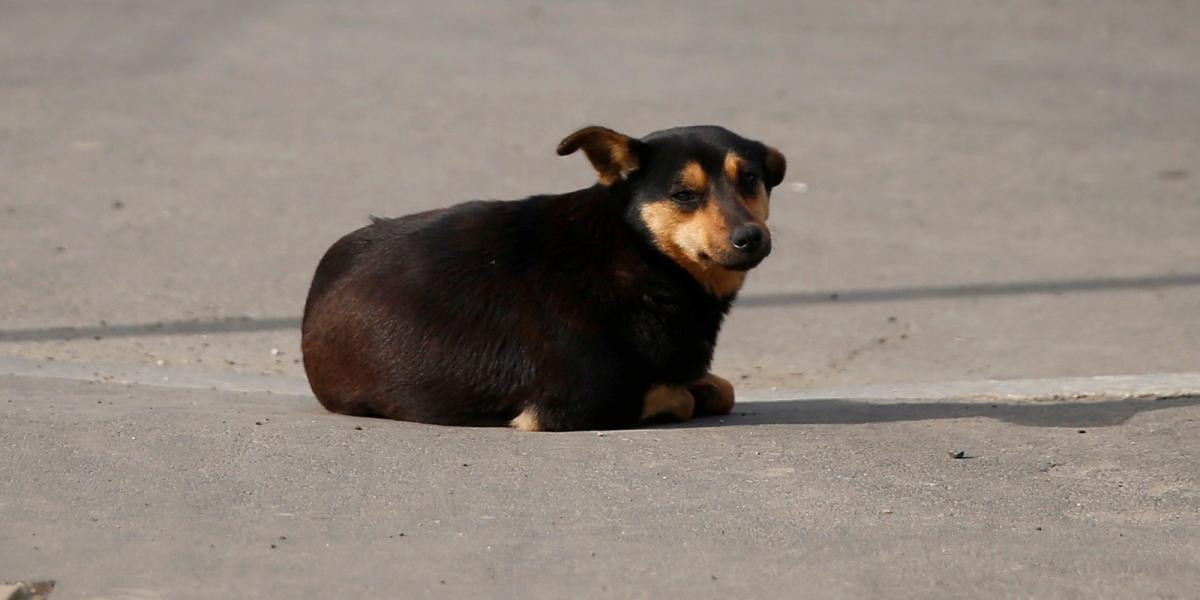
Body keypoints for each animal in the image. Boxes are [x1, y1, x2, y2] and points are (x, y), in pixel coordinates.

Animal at [304, 124, 782, 429]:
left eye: (750, 179)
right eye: (684, 195)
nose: (750, 237)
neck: (640, 253)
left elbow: (722, 387)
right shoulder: (572, 404)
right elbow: (680, 397)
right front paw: (691, 395)